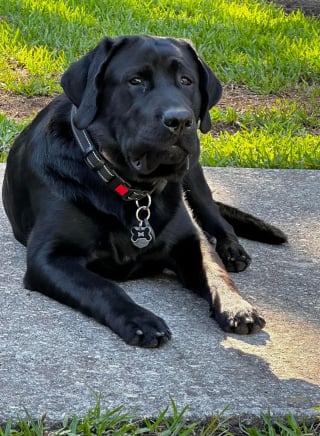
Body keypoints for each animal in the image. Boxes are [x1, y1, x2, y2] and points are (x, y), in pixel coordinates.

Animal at [2, 35, 286, 348]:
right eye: (135, 81)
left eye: (186, 80)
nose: (179, 120)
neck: (133, 189)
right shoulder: (50, 256)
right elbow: (102, 287)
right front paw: (140, 319)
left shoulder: (190, 241)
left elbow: (215, 272)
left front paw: (238, 307)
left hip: (194, 174)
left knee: (216, 218)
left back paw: (232, 250)